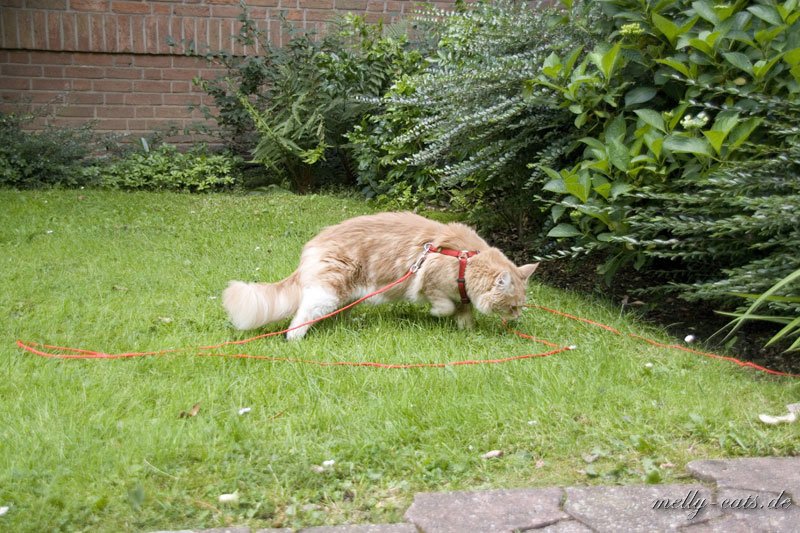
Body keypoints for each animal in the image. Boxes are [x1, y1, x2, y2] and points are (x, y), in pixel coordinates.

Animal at [222, 212, 538, 340]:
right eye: (513, 306)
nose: (517, 318)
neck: (466, 260)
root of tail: (314, 243)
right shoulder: (430, 283)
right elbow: (444, 305)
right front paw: (437, 314)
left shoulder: (463, 297)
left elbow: (464, 315)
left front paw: (468, 332)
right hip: (327, 293)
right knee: (299, 318)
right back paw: (296, 338)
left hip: (340, 295)